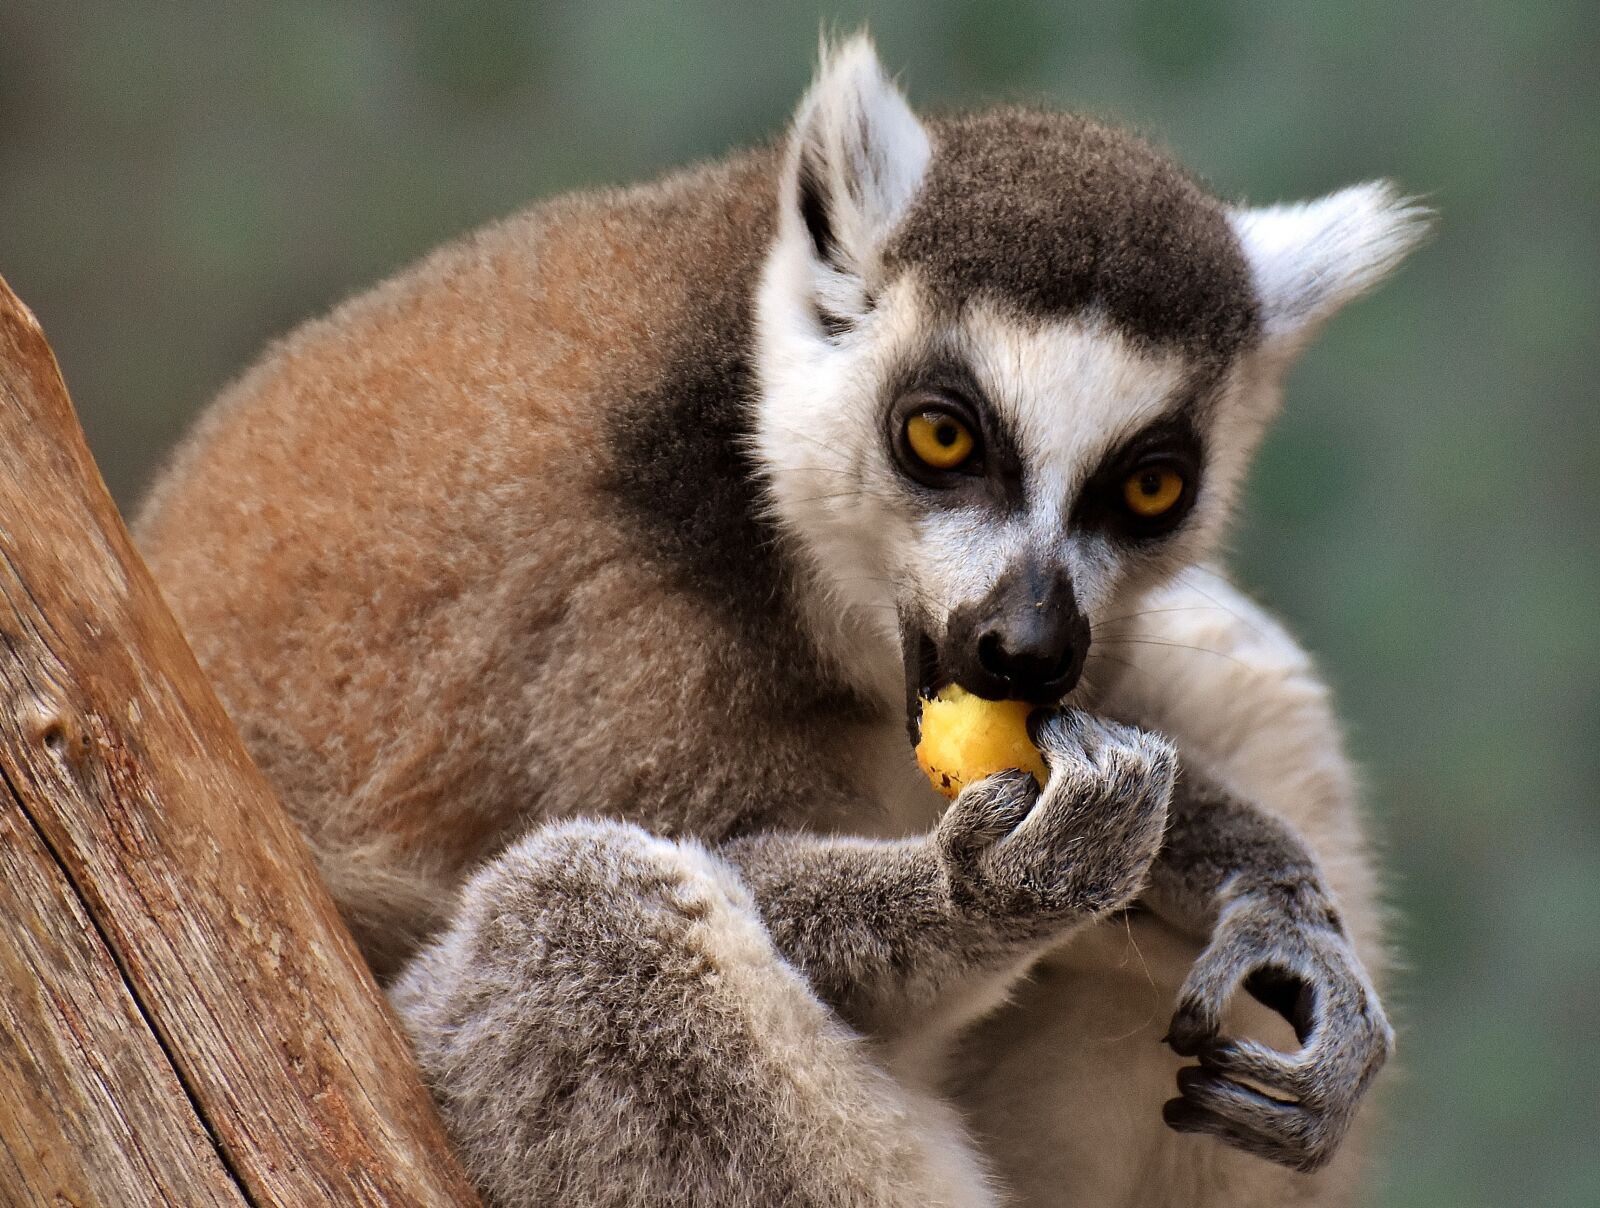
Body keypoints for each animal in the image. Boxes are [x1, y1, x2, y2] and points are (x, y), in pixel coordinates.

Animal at [135, 35, 1426, 1207]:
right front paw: (998, 880)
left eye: (1152, 487)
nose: (1023, 647)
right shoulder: (617, 626)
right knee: (589, 922)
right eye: (940, 435)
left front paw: (1263, 884)